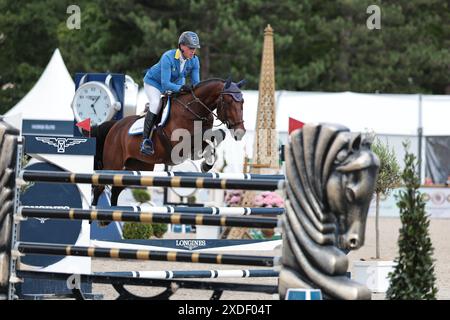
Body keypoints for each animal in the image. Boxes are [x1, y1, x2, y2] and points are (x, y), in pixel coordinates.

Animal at [91, 79, 246, 206]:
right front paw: (206, 163)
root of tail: (114, 126)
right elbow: (205, 136)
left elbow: (216, 136)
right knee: (99, 187)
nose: (240, 131)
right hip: (113, 164)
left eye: (242, 102)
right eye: (228, 102)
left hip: (136, 167)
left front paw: (207, 163)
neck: (193, 110)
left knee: (116, 190)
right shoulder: (179, 144)